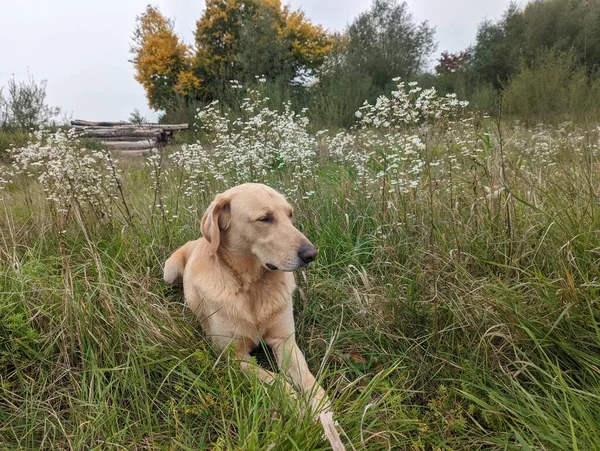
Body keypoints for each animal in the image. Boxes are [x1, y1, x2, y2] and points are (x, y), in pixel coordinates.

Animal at [163, 185, 332, 416]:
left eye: (290, 215)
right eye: (265, 218)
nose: (311, 254)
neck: (251, 285)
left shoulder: (285, 341)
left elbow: (308, 380)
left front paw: (322, 412)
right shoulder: (234, 356)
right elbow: (276, 380)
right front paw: (298, 408)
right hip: (169, 272)